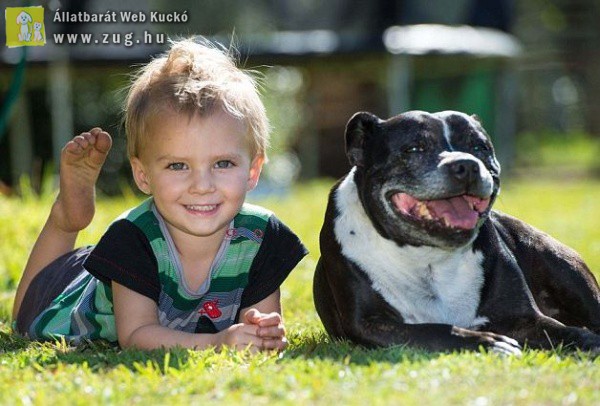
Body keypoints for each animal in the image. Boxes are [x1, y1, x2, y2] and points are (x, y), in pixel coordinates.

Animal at [312, 109, 600, 354]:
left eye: (479, 147)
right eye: (414, 148)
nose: (467, 165)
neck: (428, 257)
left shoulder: (525, 318)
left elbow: (565, 331)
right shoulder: (371, 324)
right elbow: (434, 330)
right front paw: (490, 342)